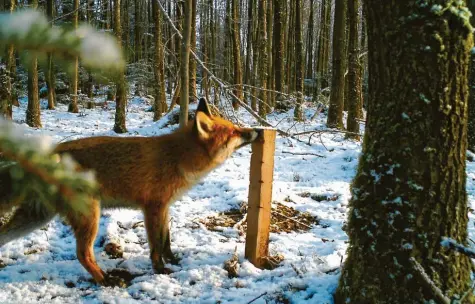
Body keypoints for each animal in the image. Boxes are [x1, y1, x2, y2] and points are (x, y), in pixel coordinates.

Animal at [0, 98, 260, 286]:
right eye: (234, 133)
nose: (256, 130)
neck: (178, 159)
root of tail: (44, 155)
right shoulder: (153, 207)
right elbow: (156, 245)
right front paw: (160, 270)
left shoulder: (164, 207)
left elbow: (167, 240)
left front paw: (174, 260)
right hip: (88, 216)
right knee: (83, 254)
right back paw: (105, 279)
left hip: (36, 217)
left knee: (3, 236)